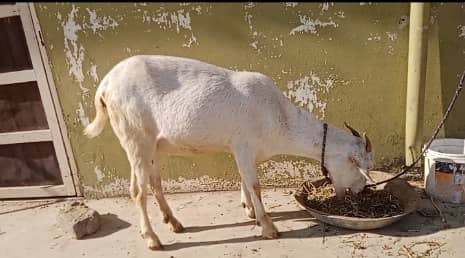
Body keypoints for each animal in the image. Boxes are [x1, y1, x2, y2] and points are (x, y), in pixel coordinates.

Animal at [83, 55, 374, 250]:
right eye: (363, 169)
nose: (360, 194)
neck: (280, 117)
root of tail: (105, 85)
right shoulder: (244, 144)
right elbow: (255, 184)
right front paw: (268, 227)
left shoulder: (240, 148)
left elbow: (244, 179)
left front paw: (249, 211)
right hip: (136, 137)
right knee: (138, 190)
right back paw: (153, 240)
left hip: (151, 145)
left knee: (153, 183)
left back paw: (174, 223)